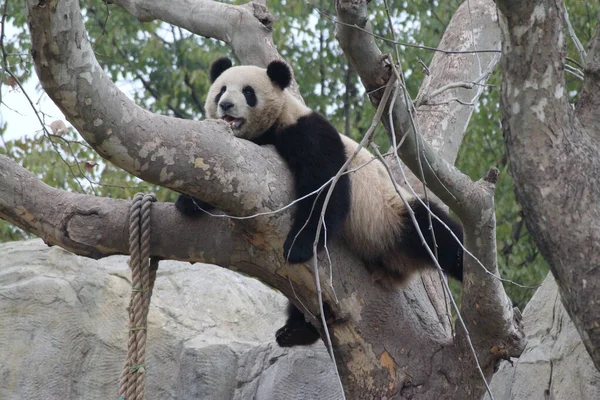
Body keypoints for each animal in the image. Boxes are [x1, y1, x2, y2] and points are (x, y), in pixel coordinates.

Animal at [173, 56, 464, 346]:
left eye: (248, 92)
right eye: (221, 89)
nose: (226, 104)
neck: (272, 124)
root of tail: (396, 268)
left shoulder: (304, 130)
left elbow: (325, 186)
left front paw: (298, 245)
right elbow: (225, 175)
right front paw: (188, 202)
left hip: (393, 214)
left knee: (438, 232)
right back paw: (295, 331)